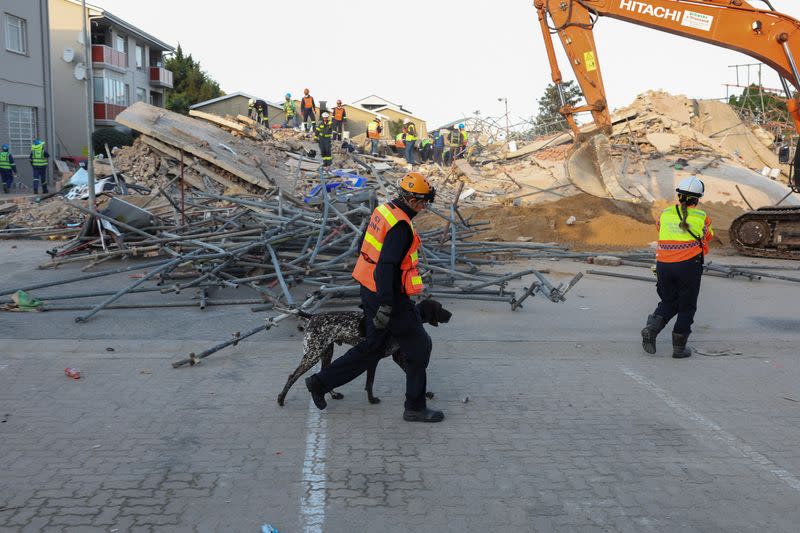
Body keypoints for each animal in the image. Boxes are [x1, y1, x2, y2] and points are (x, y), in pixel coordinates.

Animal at [276, 298, 450, 406]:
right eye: (441, 307)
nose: (451, 315)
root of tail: (312, 316)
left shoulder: (397, 357)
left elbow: (411, 374)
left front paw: (425, 394)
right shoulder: (373, 358)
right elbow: (370, 383)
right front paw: (372, 400)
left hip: (326, 353)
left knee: (323, 372)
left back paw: (333, 394)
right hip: (312, 355)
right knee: (293, 376)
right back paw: (281, 399)